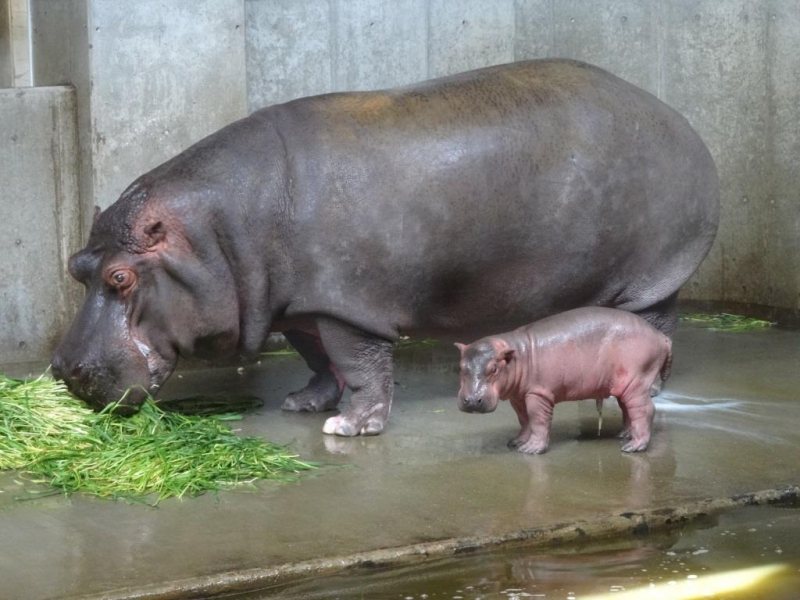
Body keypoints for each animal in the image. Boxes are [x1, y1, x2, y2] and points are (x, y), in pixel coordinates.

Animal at [53, 59, 720, 436]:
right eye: (75, 266)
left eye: (120, 278)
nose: (62, 369)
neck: (211, 233)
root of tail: (677, 117)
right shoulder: (301, 303)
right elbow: (316, 356)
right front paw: (303, 403)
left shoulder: (347, 304)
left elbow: (358, 363)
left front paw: (350, 427)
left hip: (654, 279)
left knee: (656, 330)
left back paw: (653, 391)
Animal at [454, 310, 672, 454]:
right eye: (461, 367)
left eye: (493, 368)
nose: (472, 401)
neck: (518, 354)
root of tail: (662, 336)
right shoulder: (518, 396)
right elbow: (524, 419)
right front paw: (516, 442)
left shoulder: (539, 394)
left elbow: (538, 420)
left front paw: (531, 449)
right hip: (624, 384)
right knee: (627, 408)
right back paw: (624, 435)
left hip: (637, 381)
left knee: (644, 410)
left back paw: (632, 447)